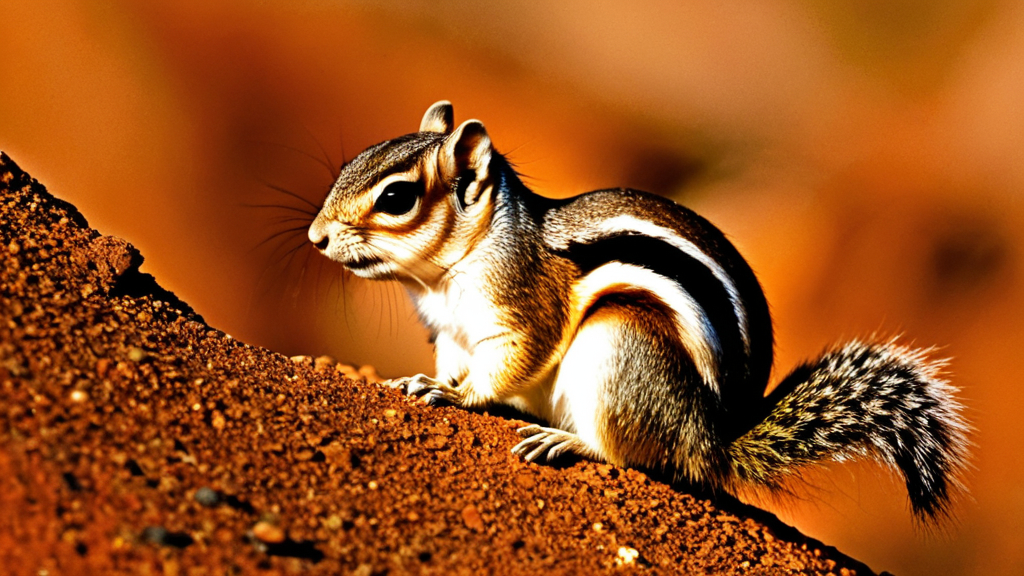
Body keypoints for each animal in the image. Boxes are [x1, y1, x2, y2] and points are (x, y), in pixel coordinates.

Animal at [308, 101, 970, 522]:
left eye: (397, 197)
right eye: (353, 162)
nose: (315, 237)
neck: (449, 272)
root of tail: (712, 442)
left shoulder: (522, 307)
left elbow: (515, 360)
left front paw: (457, 395)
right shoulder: (449, 333)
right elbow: (450, 360)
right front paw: (425, 381)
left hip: (621, 344)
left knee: (631, 455)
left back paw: (566, 442)